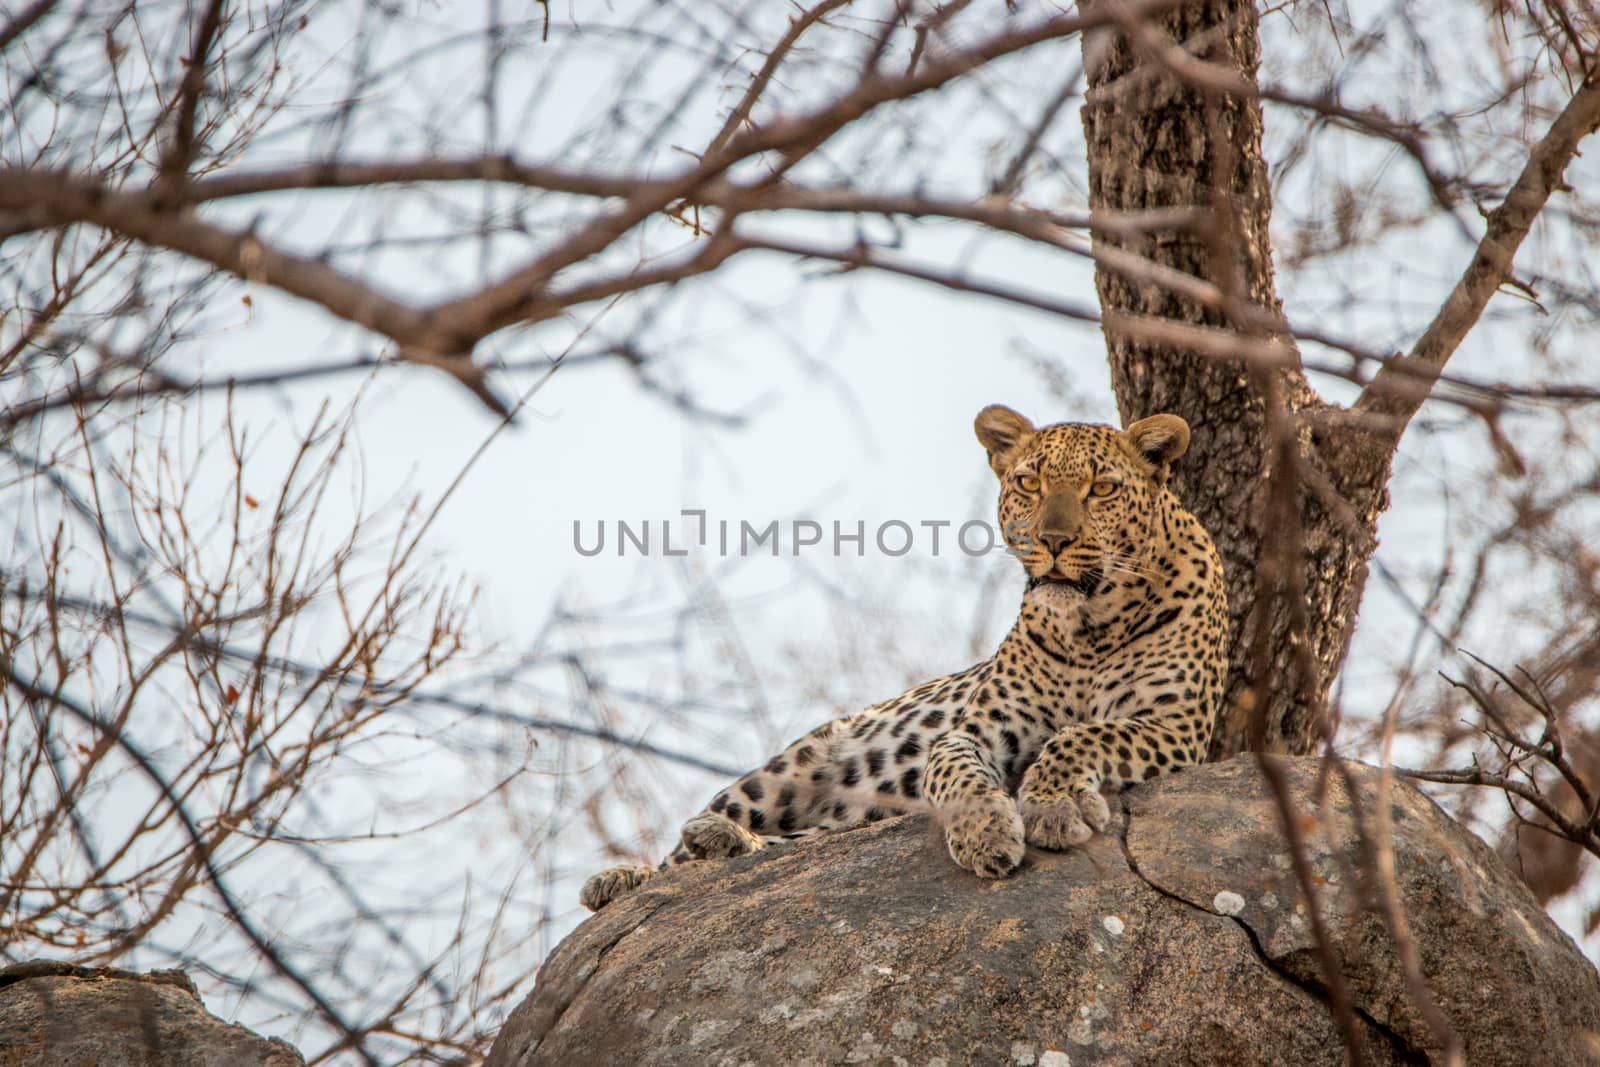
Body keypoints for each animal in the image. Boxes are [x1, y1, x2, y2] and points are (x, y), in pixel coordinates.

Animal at [582, 403, 1228, 908]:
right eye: (1029, 484)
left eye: (1102, 489)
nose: (1053, 541)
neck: (1089, 627)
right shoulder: (974, 731)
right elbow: (956, 774)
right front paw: (986, 832)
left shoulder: (1179, 728)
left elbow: (1085, 734)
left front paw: (1051, 804)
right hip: (779, 773)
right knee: (681, 861)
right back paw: (631, 874)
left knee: (804, 841)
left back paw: (717, 841)